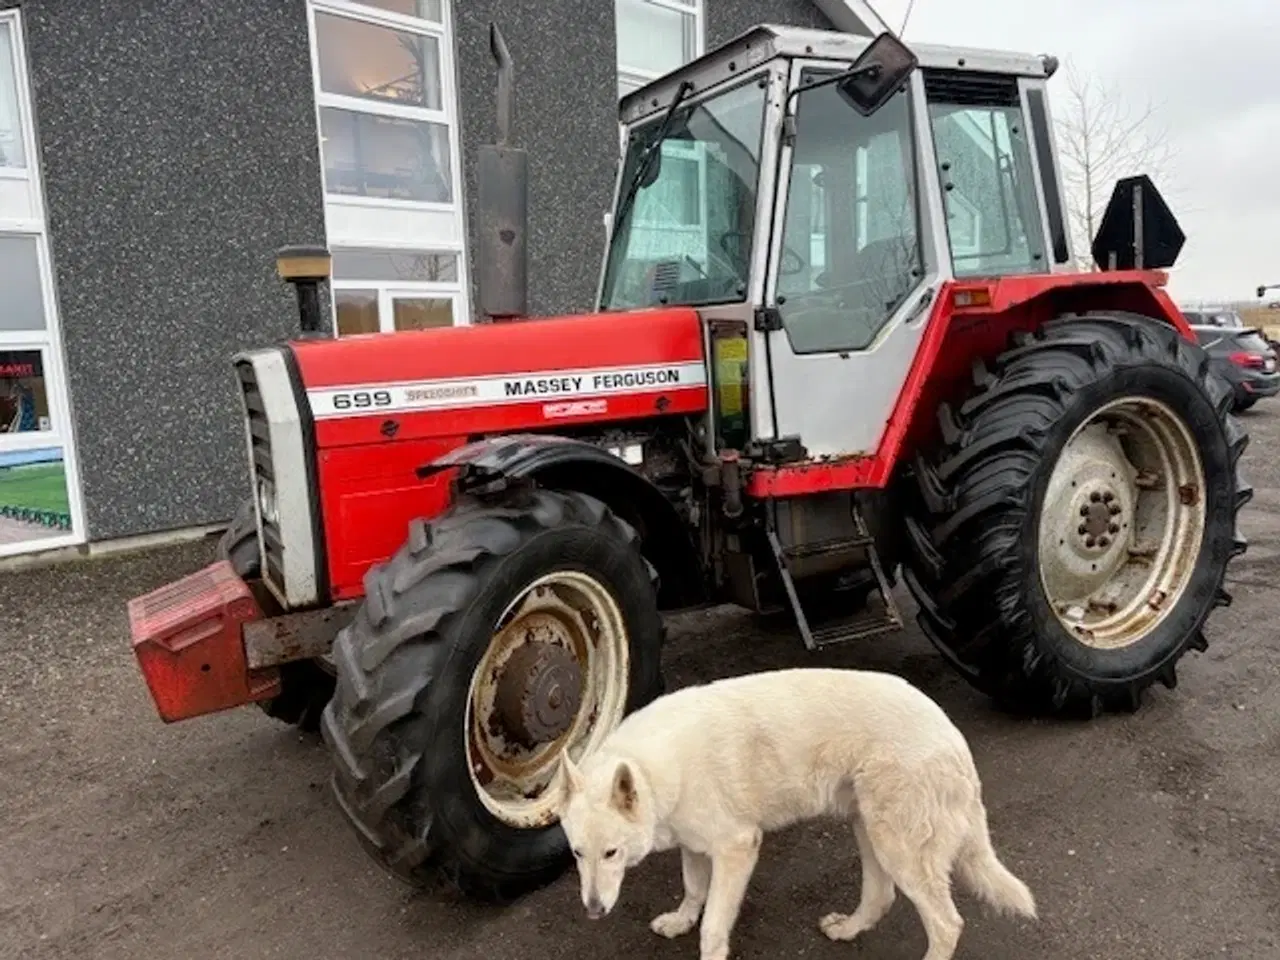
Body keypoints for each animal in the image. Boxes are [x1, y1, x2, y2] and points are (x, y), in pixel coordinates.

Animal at [555, 670, 1034, 960]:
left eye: (612, 853)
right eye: (578, 854)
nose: (593, 911)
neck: (653, 769)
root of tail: (950, 732)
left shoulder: (737, 848)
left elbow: (713, 925)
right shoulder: (695, 846)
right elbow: (693, 891)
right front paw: (680, 920)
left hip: (898, 849)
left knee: (947, 924)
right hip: (869, 830)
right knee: (881, 897)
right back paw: (848, 930)